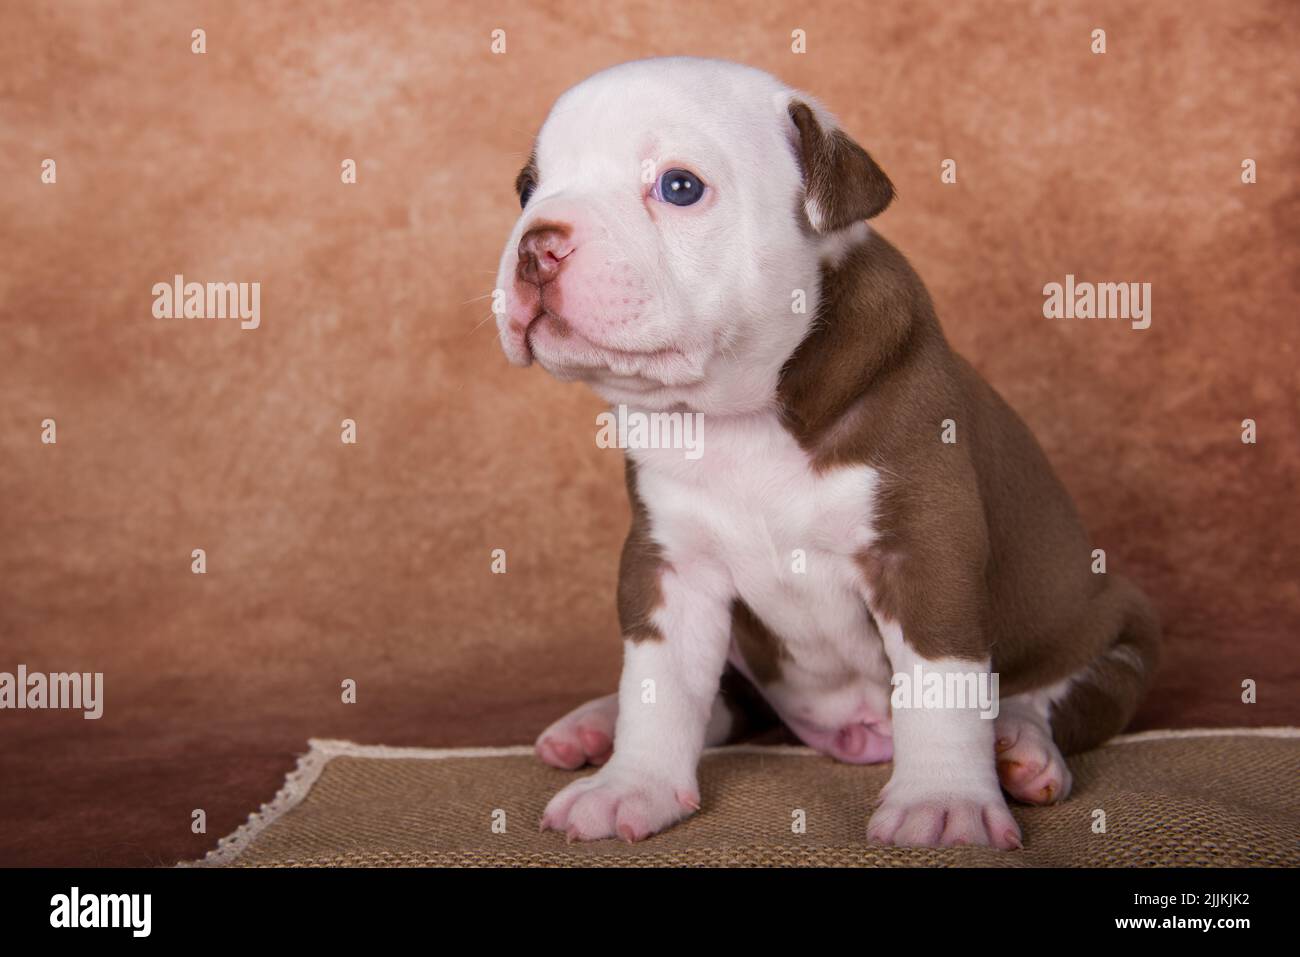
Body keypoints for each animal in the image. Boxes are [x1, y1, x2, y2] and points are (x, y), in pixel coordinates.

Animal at [493, 55, 1159, 847]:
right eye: (527, 188)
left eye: (679, 187)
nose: (536, 245)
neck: (738, 416)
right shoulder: (668, 563)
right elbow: (660, 683)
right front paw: (634, 786)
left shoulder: (924, 549)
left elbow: (941, 684)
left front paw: (943, 802)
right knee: (725, 697)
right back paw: (595, 726)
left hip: (1116, 635)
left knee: (1059, 696)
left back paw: (1021, 748)